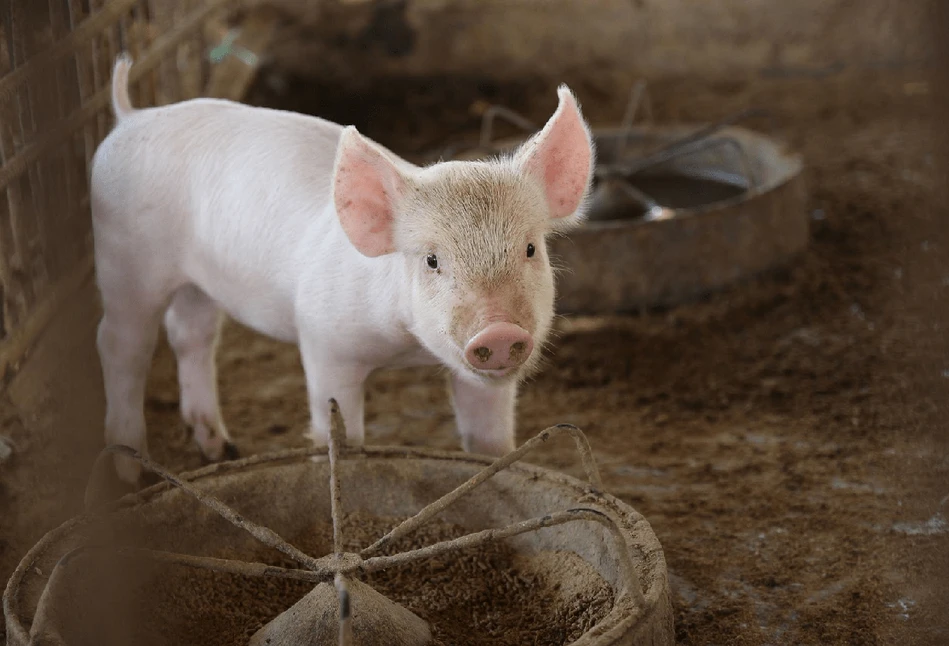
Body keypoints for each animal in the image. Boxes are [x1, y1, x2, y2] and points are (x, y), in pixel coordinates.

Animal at [90, 55, 592, 484]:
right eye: (431, 260)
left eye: (530, 249)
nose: (500, 331)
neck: (405, 348)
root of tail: (130, 115)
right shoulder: (324, 340)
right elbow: (342, 438)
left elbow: (489, 443)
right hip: (124, 260)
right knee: (120, 344)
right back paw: (132, 472)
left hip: (197, 282)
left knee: (191, 334)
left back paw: (222, 450)